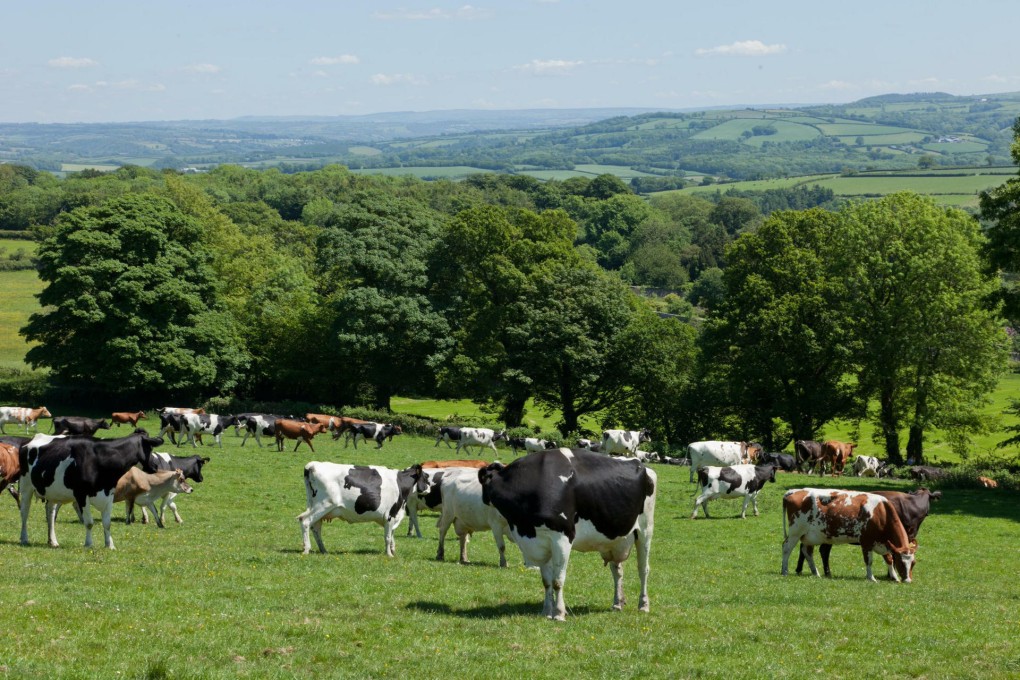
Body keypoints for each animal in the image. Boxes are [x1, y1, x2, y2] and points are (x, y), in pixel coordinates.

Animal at [19, 430, 163, 549]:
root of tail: (31, 439)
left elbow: (107, 523)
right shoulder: (81, 495)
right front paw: (89, 544)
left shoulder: (108, 494)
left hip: (53, 492)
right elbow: (89, 522)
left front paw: (109, 545)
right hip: (26, 487)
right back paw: (24, 538)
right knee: (24, 513)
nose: (156, 466)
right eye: (150, 448)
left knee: (50, 514)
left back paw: (53, 541)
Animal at [298, 462, 428, 557]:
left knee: (316, 527)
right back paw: (306, 549)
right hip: (323, 505)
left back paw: (323, 550)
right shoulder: (390, 515)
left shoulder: (394, 516)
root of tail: (312, 465)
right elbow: (387, 537)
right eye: (425, 477)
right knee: (304, 520)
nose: (428, 489)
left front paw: (392, 550)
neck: (400, 484)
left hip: (318, 507)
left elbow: (391, 535)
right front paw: (389, 554)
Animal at [478, 448, 657, 620]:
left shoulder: (562, 537)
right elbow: (546, 581)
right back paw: (617, 603)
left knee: (643, 569)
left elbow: (557, 580)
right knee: (617, 570)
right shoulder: (541, 542)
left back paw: (643, 605)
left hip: (645, 530)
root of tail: (640, 463)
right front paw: (546, 611)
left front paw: (559, 613)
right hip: (614, 538)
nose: (483, 499)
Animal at [796, 488, 941, 581]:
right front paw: (890, 575)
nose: (908, 580)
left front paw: (892, 575)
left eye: (914, 563)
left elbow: (889, 557)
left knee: (815, 550)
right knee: (817, 551)